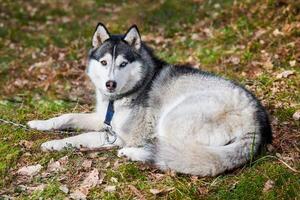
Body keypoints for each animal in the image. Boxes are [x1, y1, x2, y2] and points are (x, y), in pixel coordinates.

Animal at [27, 23, 272, 176]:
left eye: (123, 64)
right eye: (104, 62)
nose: (110, 84)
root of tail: (256, 120)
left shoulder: (119, 136)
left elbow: (83, 136)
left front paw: (54, 144)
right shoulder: (103, 118)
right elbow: (66, 116)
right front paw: (39, 124)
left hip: (172, 120)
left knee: (175, 154)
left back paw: (136, 153)